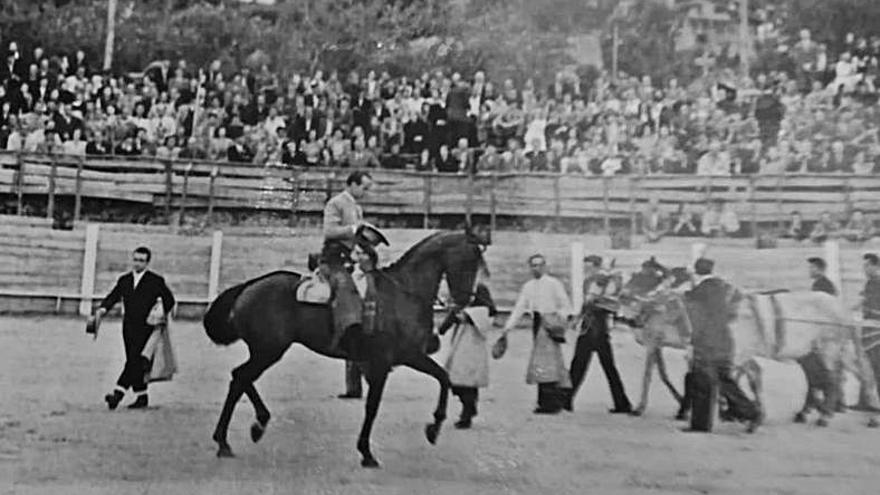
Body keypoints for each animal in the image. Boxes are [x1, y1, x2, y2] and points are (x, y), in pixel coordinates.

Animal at [202, 229, 488, 468]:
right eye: (470, 261)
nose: (464, 301)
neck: (403, 293)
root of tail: (249, 286)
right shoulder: (387, 361)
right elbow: (373, 407)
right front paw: (368, 453)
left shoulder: (407, 357)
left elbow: (443, 376)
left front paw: (434, 427)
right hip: (268, 350)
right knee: (241, 377)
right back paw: (230, 438)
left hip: (266, 351)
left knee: (240, 377)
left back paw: (250, 427)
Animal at [616, 258, 880, 428]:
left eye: (649, 275)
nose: (623, 297)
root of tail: (840, 308)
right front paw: (727, 410)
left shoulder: (663, 344)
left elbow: (653, 375)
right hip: (810, 353)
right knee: (821, 378)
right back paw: (811, 412)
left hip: (828, 349)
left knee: (837, 377)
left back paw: (831, 413)